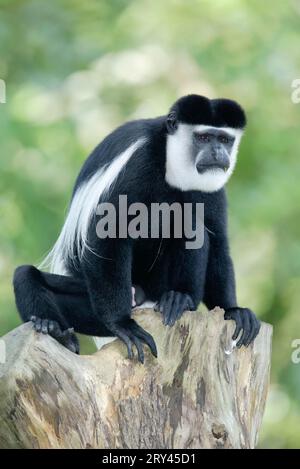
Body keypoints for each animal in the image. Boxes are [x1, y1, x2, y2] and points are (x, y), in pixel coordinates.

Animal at [12, 93, 260, 360]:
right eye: (203, 137)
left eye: (225, 139)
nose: (218, 152)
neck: (169, 160)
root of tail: (142, 298)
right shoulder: (136, 165)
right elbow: (107, 236)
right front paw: (122, 324)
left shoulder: (213, 188)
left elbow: (218, 243)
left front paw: (233, 310)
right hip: (94, 300)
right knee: (26, 275)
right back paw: (54, 329)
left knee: (191, 224)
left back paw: (179, 299)